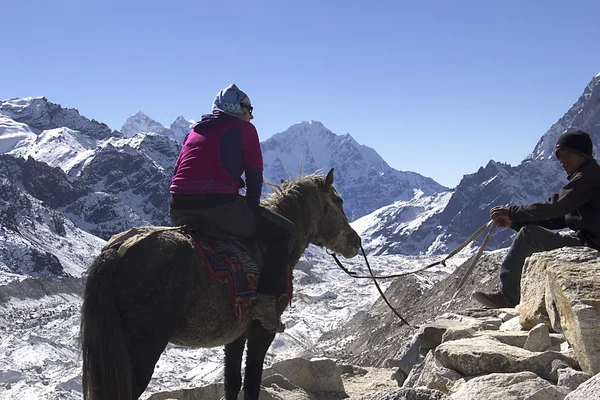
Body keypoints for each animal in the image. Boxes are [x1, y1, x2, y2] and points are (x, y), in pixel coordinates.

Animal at [79, 169, 360, 400]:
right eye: (339, 201)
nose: (355, 241)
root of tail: (117, 251)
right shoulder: (261, 332)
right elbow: (252, 383)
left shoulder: (235, 335)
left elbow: (232, 382)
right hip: (141, 351)